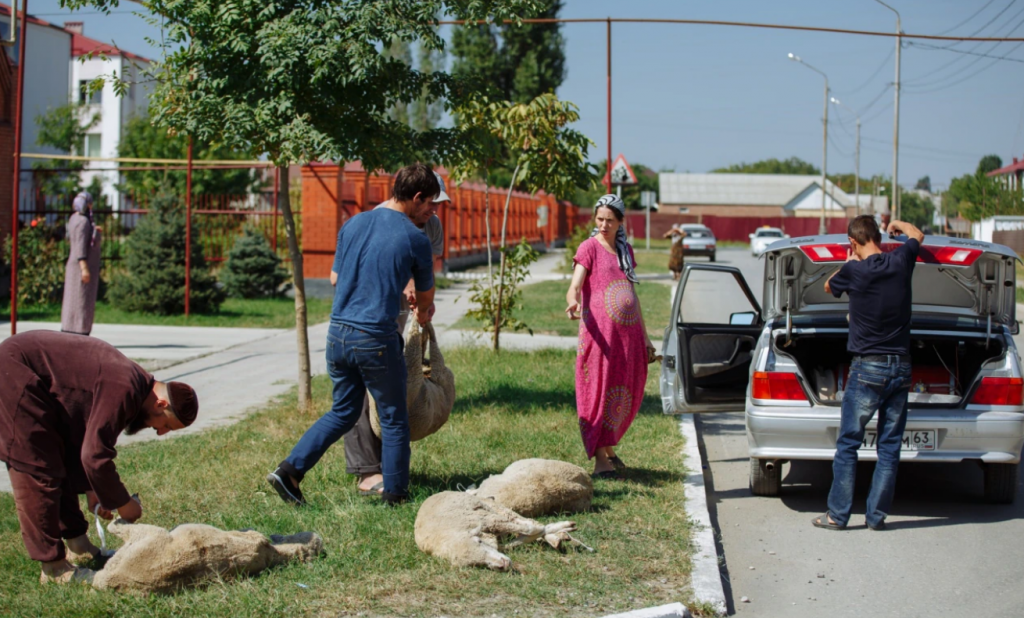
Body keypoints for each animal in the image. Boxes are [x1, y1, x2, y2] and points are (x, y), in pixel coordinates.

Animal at [413, 489, 577, 572]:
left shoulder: (489, 520)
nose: (503, 565)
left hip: (491, 508)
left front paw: (541, 528)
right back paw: (558, 537)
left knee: (518, 519)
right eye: (476, 565)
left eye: (479, 542)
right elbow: (515, 542)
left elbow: (530, 527)